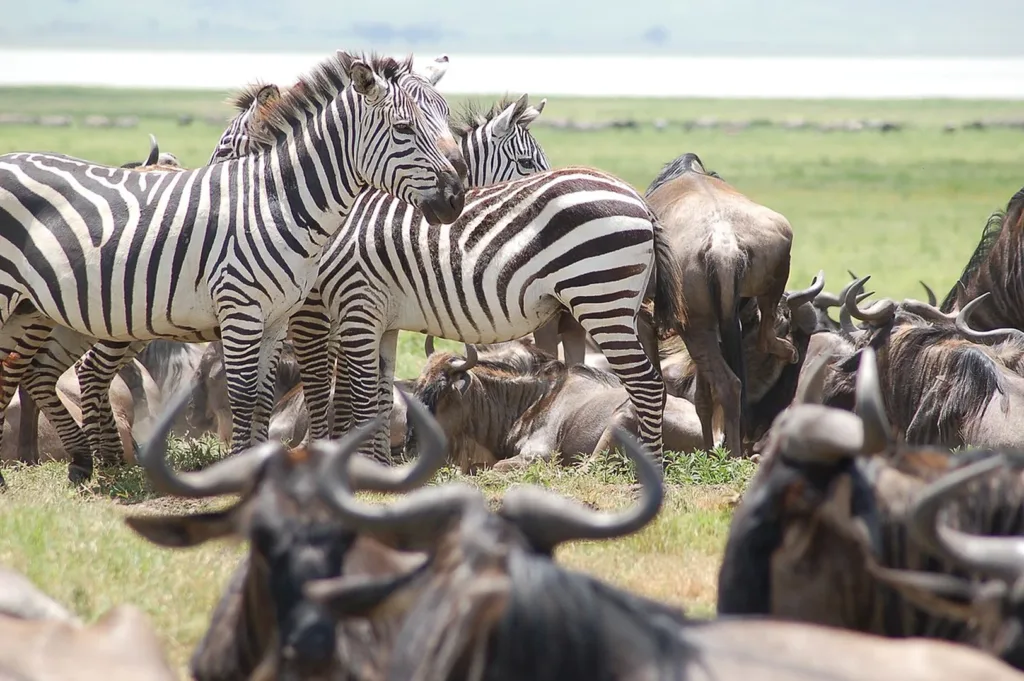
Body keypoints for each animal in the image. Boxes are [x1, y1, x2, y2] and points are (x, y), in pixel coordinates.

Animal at [0, 51, 467, 483]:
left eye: (446, 118)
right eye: (403, 129)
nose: (455, 198)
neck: (278, 202)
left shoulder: (276, 316)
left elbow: (263, 396)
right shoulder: (243, 308)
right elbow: (249, 393)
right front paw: (242, 469)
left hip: (43, 310)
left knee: (34, 370)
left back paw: (87, 462)